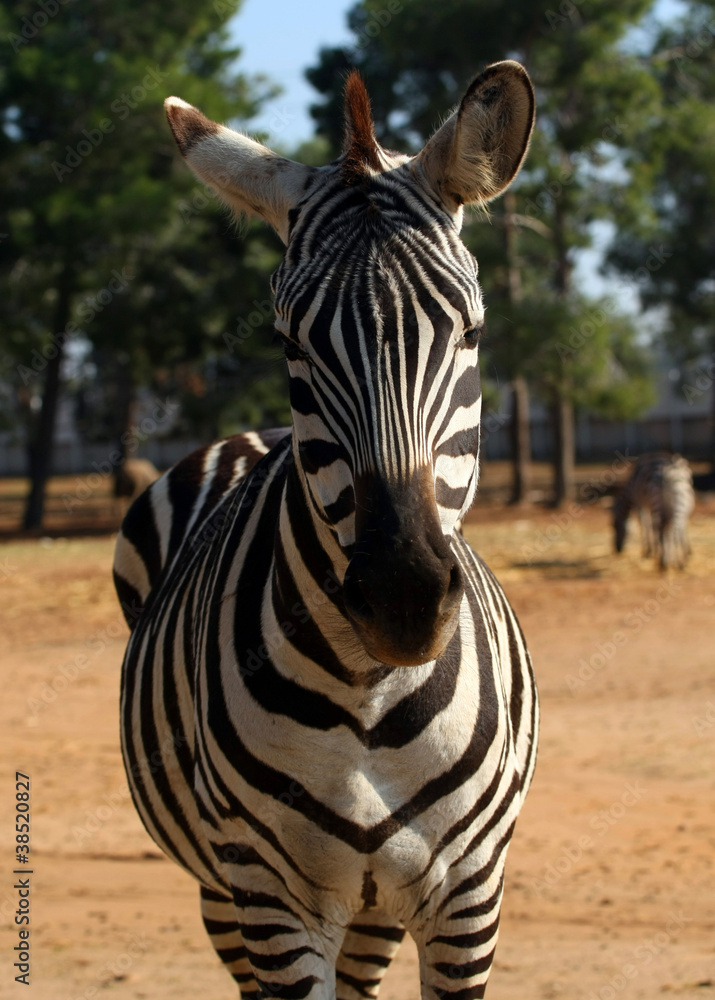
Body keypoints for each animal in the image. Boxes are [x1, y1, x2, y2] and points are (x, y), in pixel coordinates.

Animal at [114, 63, 539, 1000]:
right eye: (288, 342)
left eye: (472, 330)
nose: (402, 598)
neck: (369, 695)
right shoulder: (272, 900)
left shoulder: (468, 896)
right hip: (225, 888)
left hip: (373, 907)